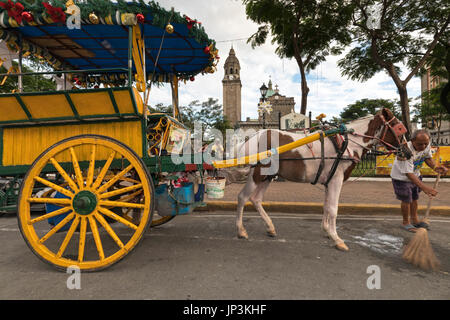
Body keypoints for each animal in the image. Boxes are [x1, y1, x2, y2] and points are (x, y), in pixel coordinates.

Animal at [223, 109, 410, 251]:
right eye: (399, 128)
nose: (408, 152)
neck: (348, 143)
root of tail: (252, 138)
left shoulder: (330, 180)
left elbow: (327, 206)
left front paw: (327, 231)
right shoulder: (336, 180)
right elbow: (333, 209)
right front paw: (337, 239)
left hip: (268, 176)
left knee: (256, 199)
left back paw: (270, 227)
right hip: (257, 174)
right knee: (243, 197)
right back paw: (241, 230)